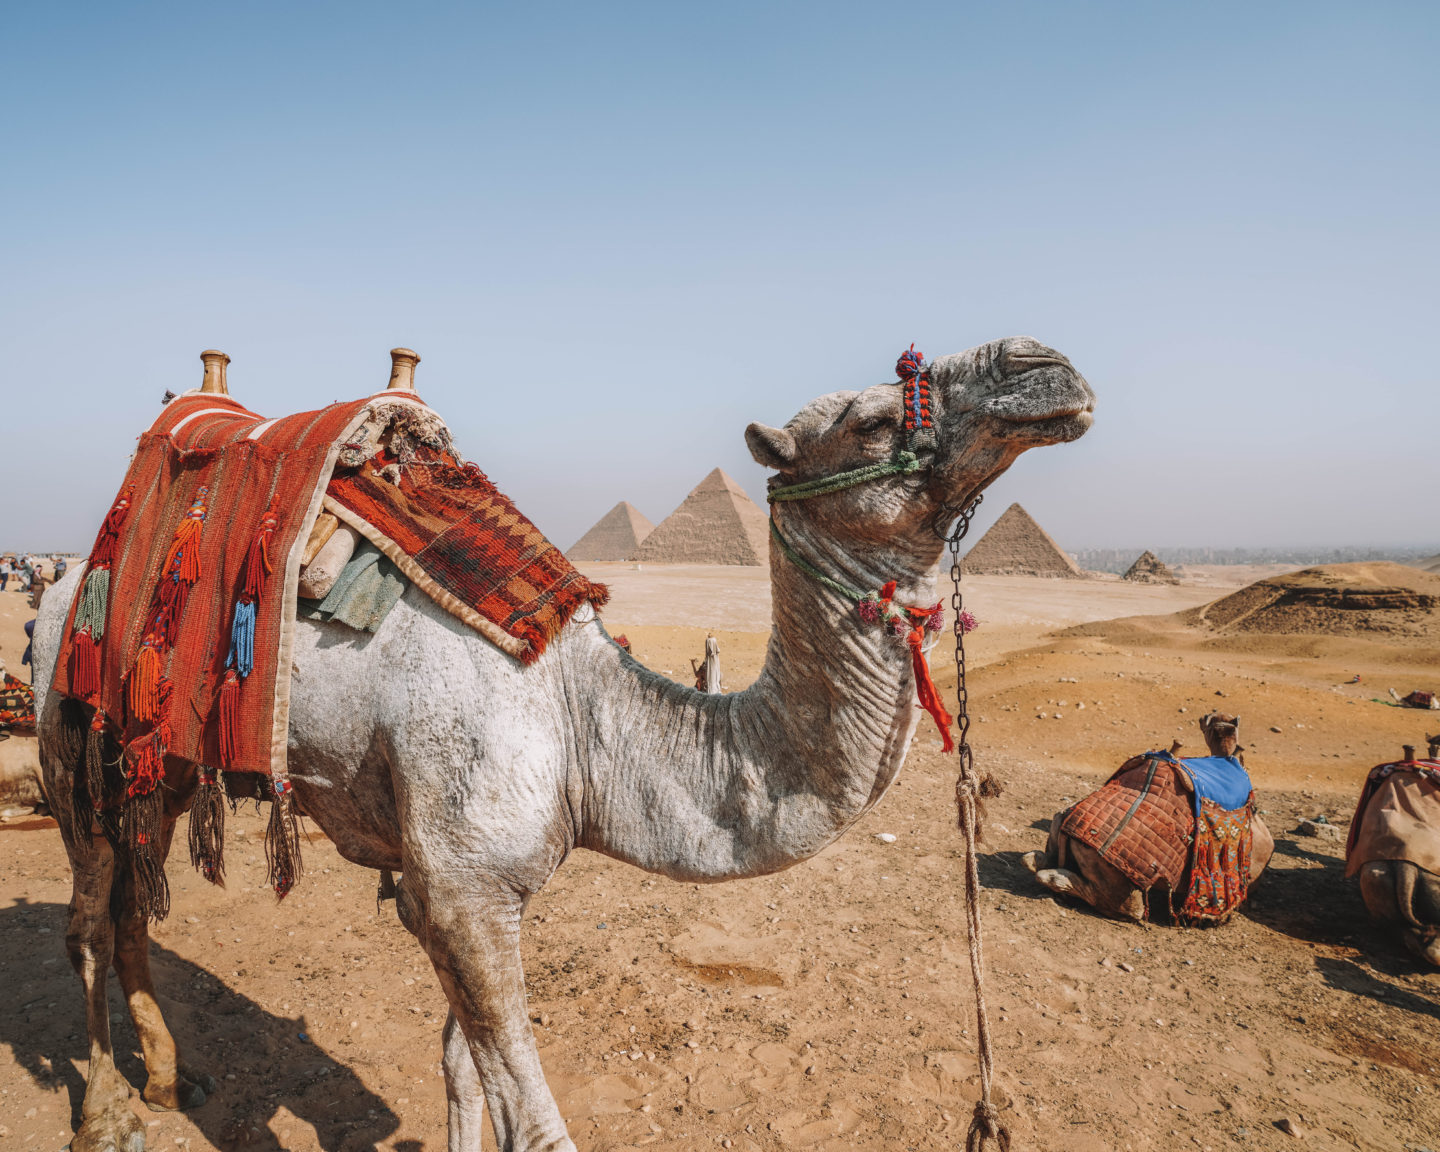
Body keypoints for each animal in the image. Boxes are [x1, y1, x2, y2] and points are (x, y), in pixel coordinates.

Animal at [30, 336, 1088, 1152]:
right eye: (871, 420)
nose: (1043, 364)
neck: (584, 718)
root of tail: (69, 572)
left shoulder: (464, 883)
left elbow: (460, 1067)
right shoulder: (463, 881)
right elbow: (532, 1119)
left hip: (159, 758)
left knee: (133, 899)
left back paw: (171, 1080)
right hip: (68, 733)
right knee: (87, 914)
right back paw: (105, 1113)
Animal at [1025, 714, 1272, 921]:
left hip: (1060, 826)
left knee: (1037, 855)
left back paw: (1040, 864)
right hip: (1120, 879)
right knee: (1129, 907)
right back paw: (1056, 878)